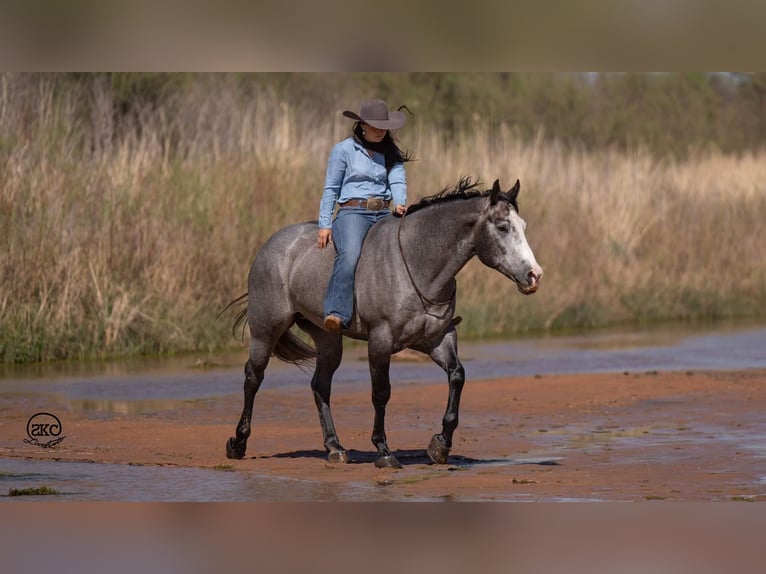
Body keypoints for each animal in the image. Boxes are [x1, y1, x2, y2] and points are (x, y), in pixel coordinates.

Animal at [225, 178, 544, 470]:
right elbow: (381, 393)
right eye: (502, 227)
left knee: (320, 385)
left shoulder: (438, 339)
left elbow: (457, 376)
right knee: (253, 378)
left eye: (524, 226)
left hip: (328, 339)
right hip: (266, 331)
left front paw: (440, 445)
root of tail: (272, 245)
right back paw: (238, 444)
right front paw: (384, 451)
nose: (534, 276)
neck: (417, 262)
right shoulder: (381, 341)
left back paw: (335, 448)